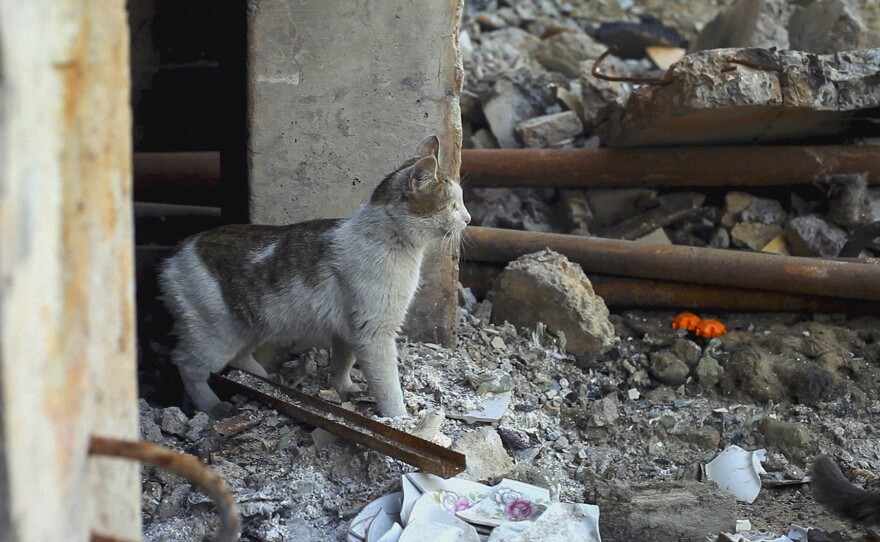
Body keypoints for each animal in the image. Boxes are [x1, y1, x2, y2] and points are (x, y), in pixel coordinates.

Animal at [161, 137, 470, 420]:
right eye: (452, 206)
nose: (467, 218)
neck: (393, 244)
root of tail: (176, 254)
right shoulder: (374, 332)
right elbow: (388, 384)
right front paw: (399, 418)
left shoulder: (349, 330)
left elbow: (343, 362)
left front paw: (343, 387)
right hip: (215, 334)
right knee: (186, 365)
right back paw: (214, 407)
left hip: (250, 328)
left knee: (238, 357)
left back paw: (266, 380)